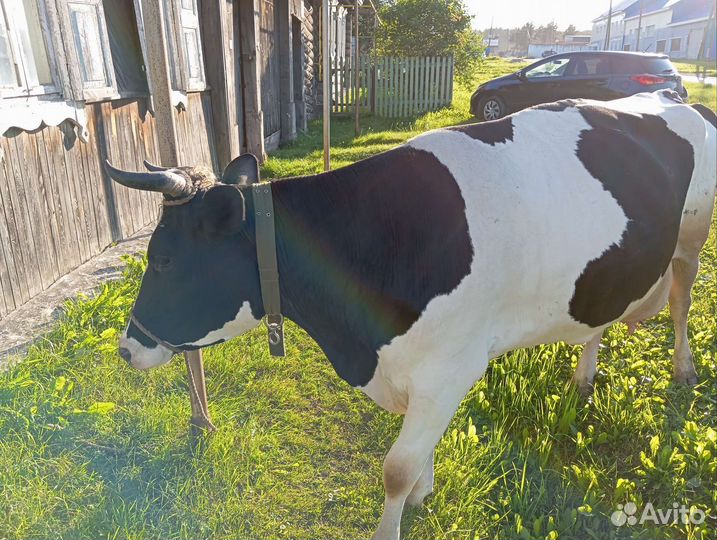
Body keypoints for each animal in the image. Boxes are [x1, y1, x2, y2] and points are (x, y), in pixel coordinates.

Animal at [106, 91, 716, 540]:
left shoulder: (451, 367)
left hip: (691, 238)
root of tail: (671, 95)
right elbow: (416, 455)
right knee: (601, 319)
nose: (126, 349)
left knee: (681, 301)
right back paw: (584, 376)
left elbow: (395, 467)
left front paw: (398, 514)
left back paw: (684, 368)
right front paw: (425, 490)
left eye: (162, 258)